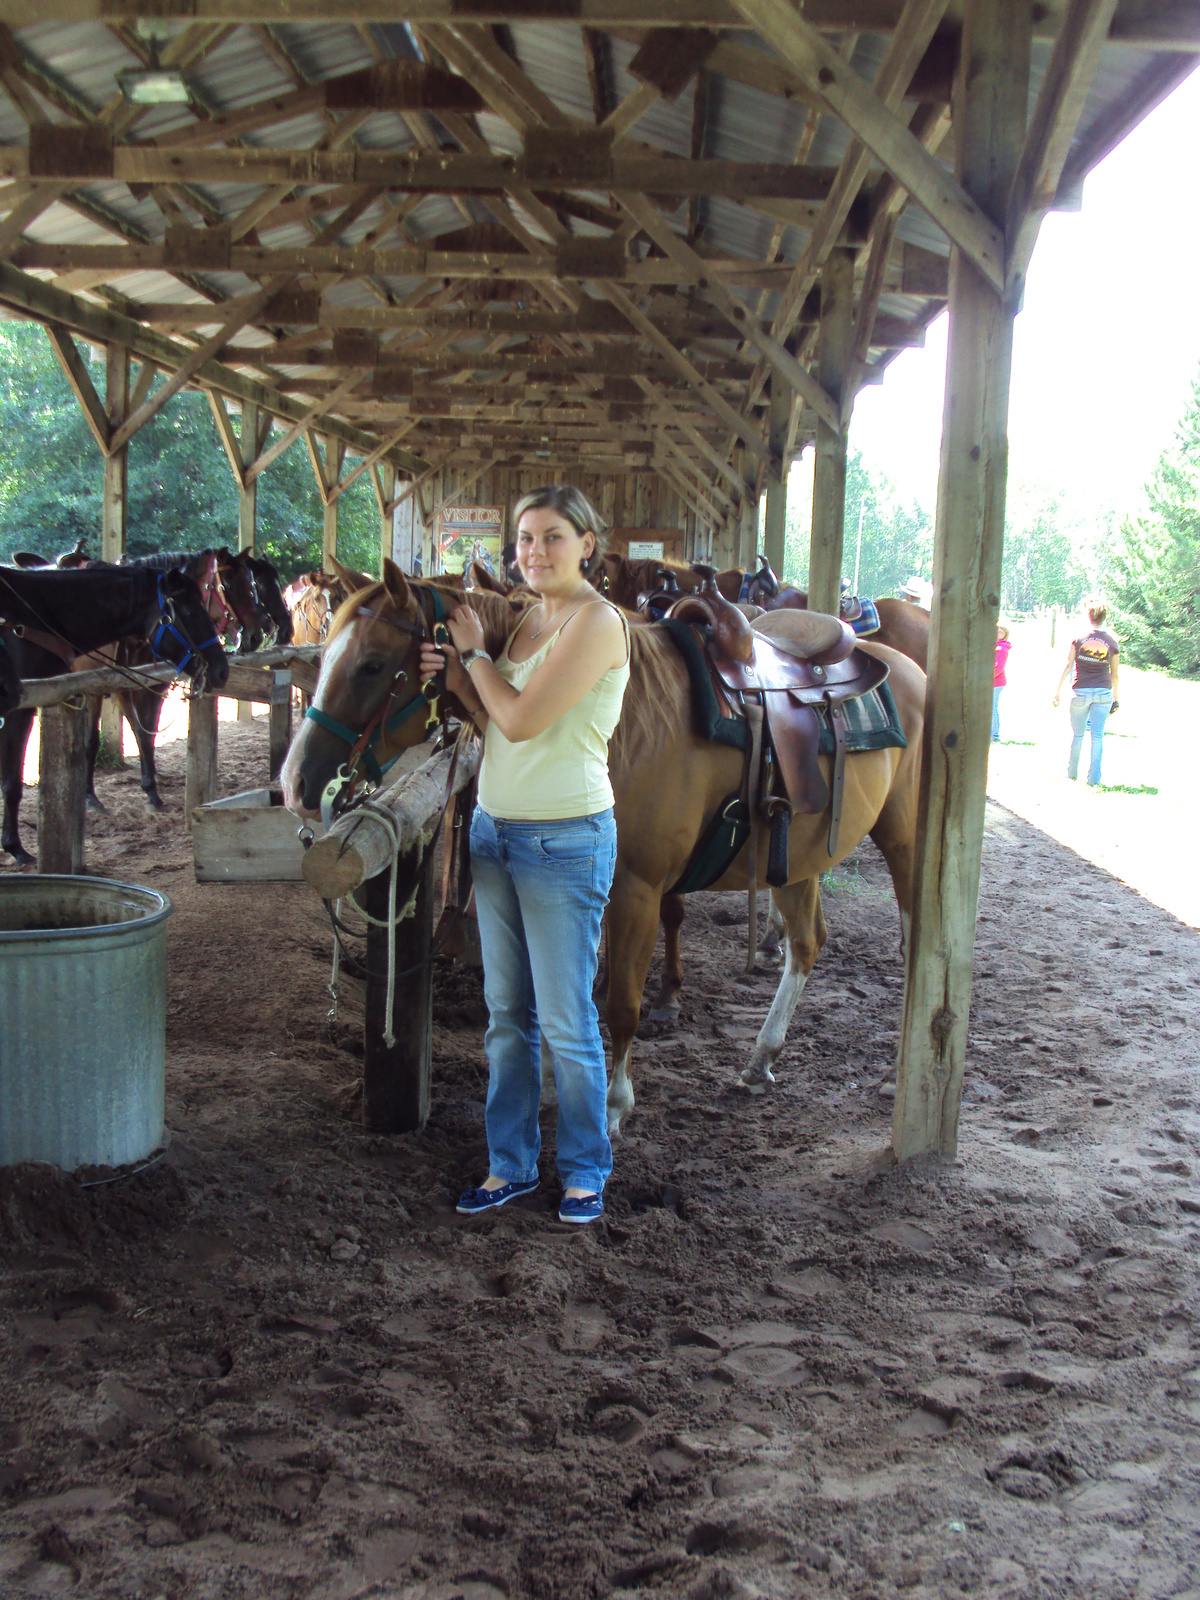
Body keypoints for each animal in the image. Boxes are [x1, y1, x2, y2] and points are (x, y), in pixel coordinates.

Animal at [280, 556, 921, 1132]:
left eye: (371, 665)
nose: (296, 783)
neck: (621, 727)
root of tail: (906, 668)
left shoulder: (638, 889)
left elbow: (620, 1004)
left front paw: (613, 1103)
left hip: (904, 842)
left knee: (912, 939)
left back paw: (900, 1075)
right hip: (801, 860)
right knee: (807, 945)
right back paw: (762, 1056)